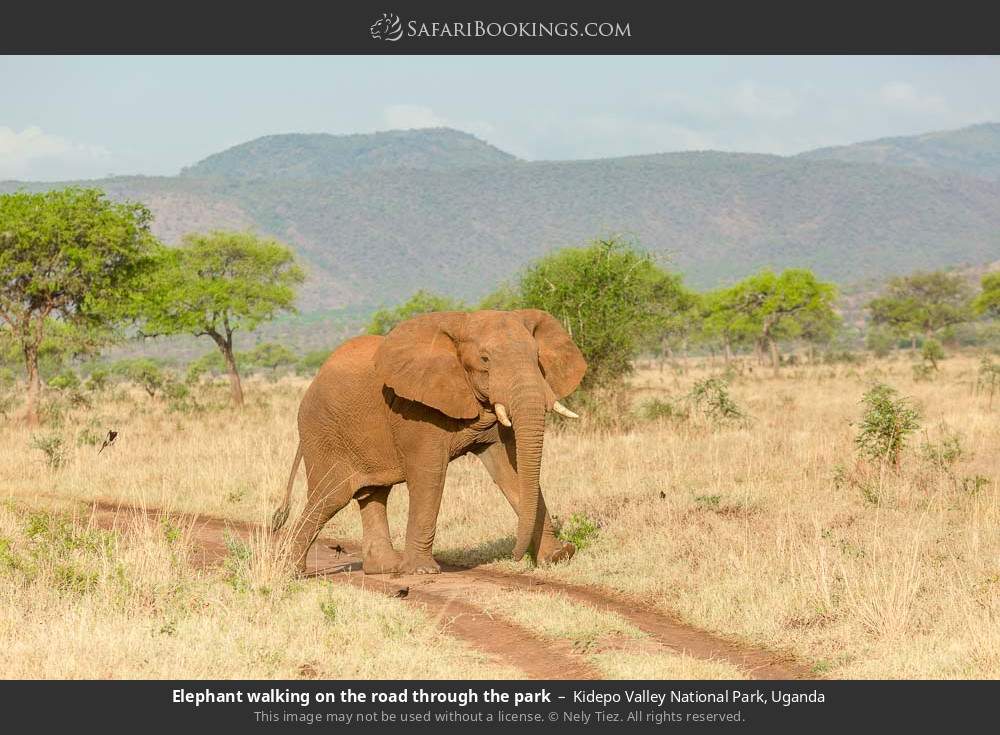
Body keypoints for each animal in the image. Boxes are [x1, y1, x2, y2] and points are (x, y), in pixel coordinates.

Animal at [271, 308, 588, 575]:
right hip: (322, 431)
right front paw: (422, 572)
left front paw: (557, 557)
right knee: (330, 496)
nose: (516, 556)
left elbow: (512, 471)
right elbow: (429, 474)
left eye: (537, 358)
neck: (462, 323)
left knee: (373, 494)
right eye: (485, 360)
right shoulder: (414, 408)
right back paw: (290, 571)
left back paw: (385, 568)